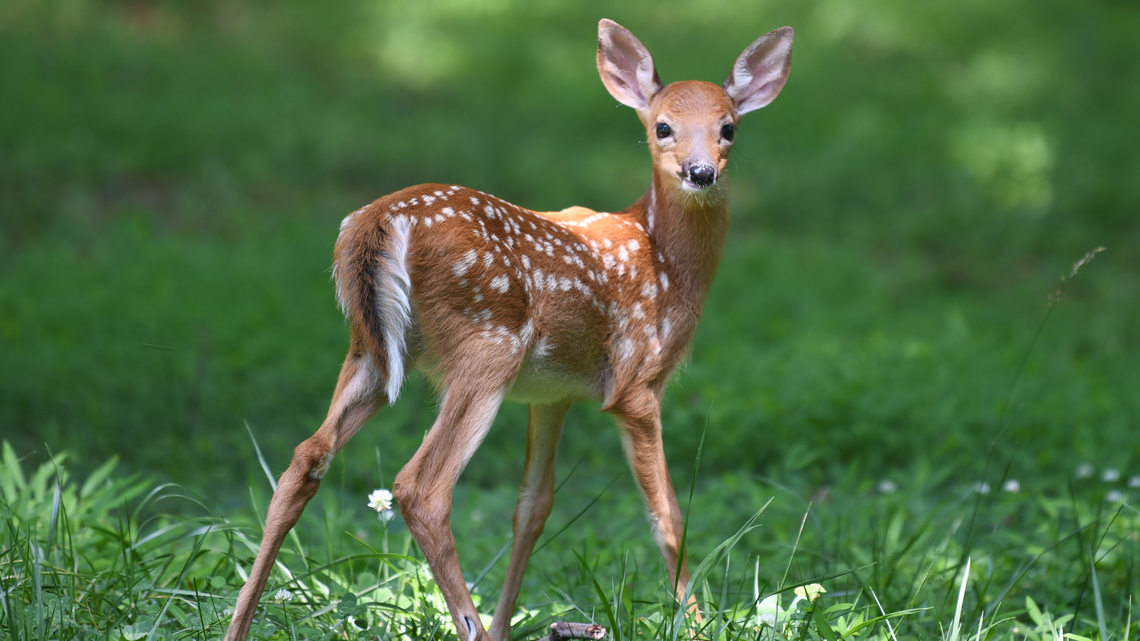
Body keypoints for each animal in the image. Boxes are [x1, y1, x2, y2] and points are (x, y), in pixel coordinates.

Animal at [225, 18, 793, 641]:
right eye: (662, 126)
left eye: (728, 128)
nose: (701, 172)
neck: (663, 260)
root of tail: (376, 221)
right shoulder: (637, 383)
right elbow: (666, 513)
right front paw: (694, 623)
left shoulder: (553, 394)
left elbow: (533, 508)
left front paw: (506, 621)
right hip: (486, 345)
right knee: (421, 487)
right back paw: (468, 621)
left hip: (372, 350)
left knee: (305, 457)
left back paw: (238, 624)